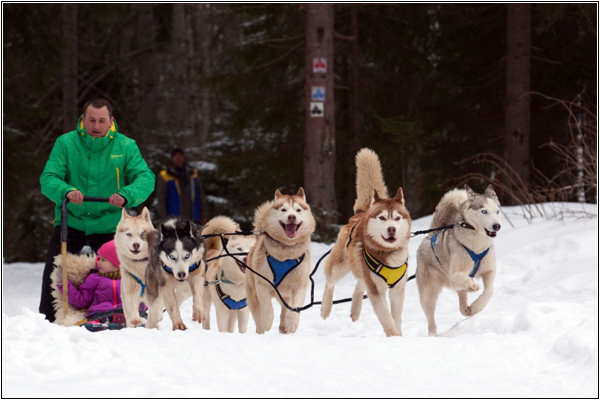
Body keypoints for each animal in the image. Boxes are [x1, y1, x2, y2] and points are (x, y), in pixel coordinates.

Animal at [246, 188, 316, 334]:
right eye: (284, 210)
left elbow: (295, 308)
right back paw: (261, 329)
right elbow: (267, 308)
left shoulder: (300, 285)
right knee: (258, 316)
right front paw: (267, 322)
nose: (291, 217)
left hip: (285, 295)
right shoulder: (263, 284)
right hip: (253, 295)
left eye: (298, 210)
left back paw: (284, 325)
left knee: (285, 309)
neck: (285, 254)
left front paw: (292, 323)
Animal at [318, 148, 412, 336]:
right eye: (382, 218)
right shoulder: (376, 289)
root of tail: (361, 212)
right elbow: (386, 317)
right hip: (339, 267)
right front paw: (393, 335)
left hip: (361, 269)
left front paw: (399, 335)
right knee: (330, 282)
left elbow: (396, 317)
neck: (388, 255)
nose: (392, 229)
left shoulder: (398, 289)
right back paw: (325, 308)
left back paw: (355, 309)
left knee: (360, 284)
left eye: (397, 218)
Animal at [414, 186, 500, 336]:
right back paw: (433, 335)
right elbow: (465, 278)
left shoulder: (489, 270)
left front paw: (476, 307)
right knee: (430, 319)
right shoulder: (455, 275)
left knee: (461, 304)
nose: (497, 226)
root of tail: (431, 235)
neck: (477, 246)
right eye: (484, 211)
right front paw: (472, 286)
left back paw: (467, 309)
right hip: (428, 294)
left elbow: (489, 291)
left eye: (497, 211)